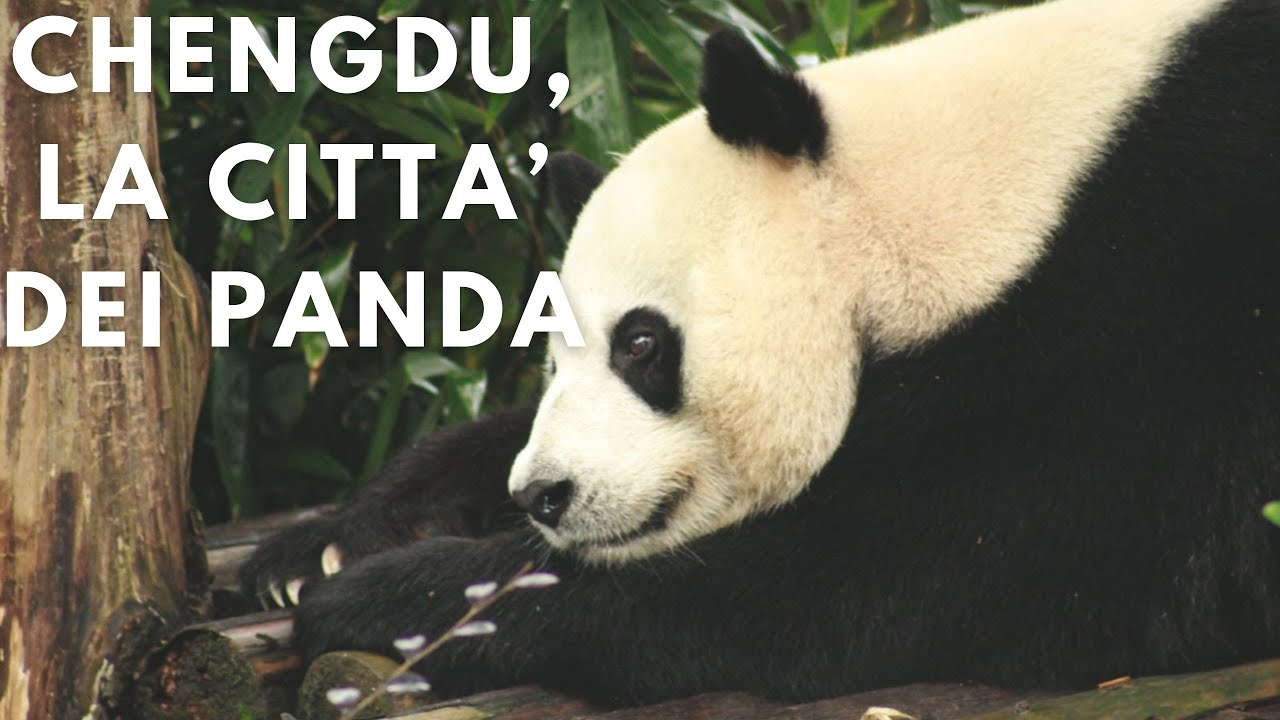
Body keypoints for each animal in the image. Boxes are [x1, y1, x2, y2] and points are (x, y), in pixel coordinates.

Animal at [241, 0, 1280, 704]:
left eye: (642, 344)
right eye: (552, 362)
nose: (544, 496)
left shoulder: (1136, 326)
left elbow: (877, 581)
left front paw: (387, 598)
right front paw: (330, 544)